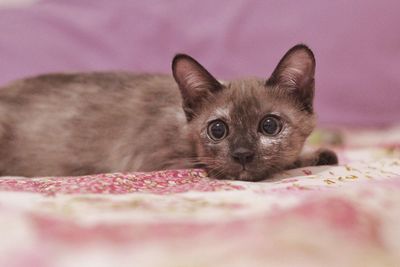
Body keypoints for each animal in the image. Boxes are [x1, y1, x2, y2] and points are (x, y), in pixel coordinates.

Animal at [0, 44, 338, 182]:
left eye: (269, 126)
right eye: (218, 130)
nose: (242, 154)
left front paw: (318, 152)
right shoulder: (161, 162)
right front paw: (314, 156)